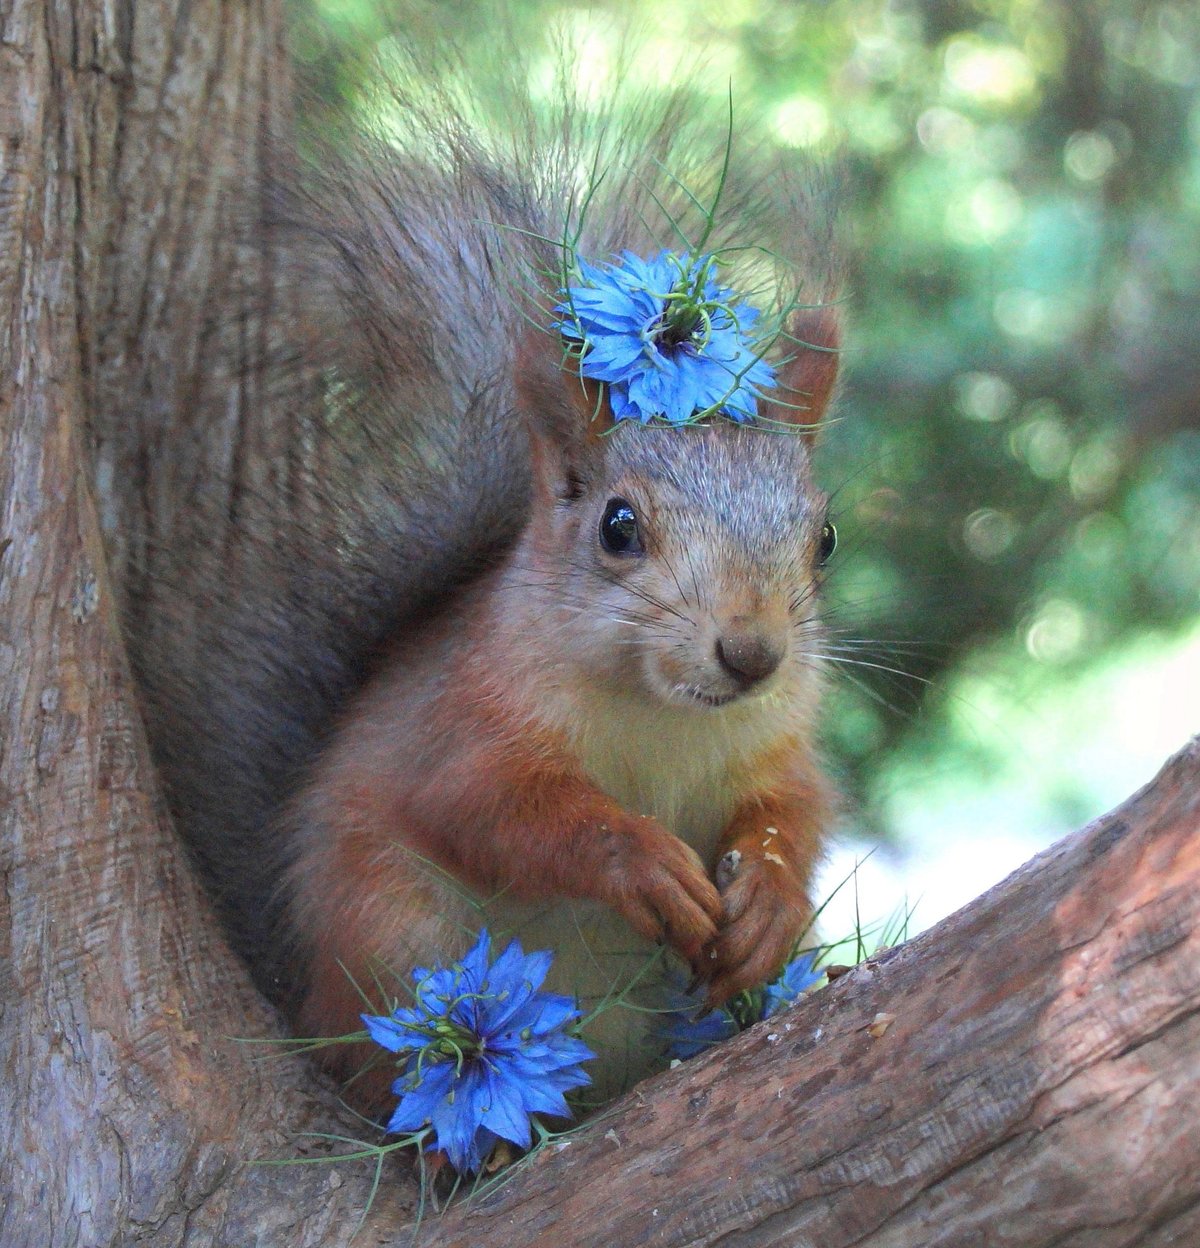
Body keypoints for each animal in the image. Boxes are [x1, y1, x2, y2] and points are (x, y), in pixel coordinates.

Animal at [128, 85, 843, 1103]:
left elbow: (797, 810)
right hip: (388, 935)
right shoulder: (462, 722)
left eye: (824, 538)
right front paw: (640, 861)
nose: (752, 654)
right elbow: (492, 810)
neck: (665, 722)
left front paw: (770, 899)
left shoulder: (779, 746)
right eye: (618, 527)